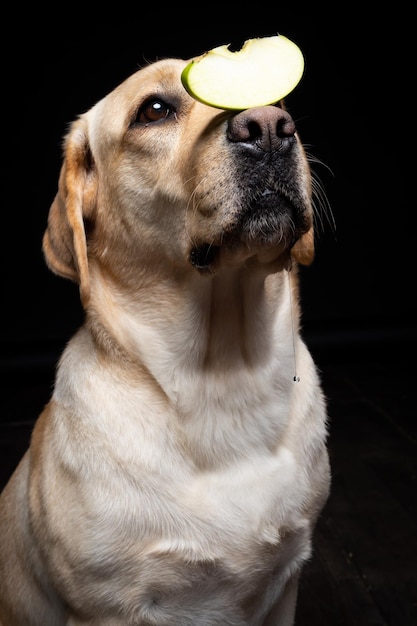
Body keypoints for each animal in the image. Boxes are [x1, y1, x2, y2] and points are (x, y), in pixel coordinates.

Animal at [0, 54, 328, 624]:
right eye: (154, 110)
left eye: (273, 96)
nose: (269, 127)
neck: (224, 383)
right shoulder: (105, 607)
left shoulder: (286, 581)